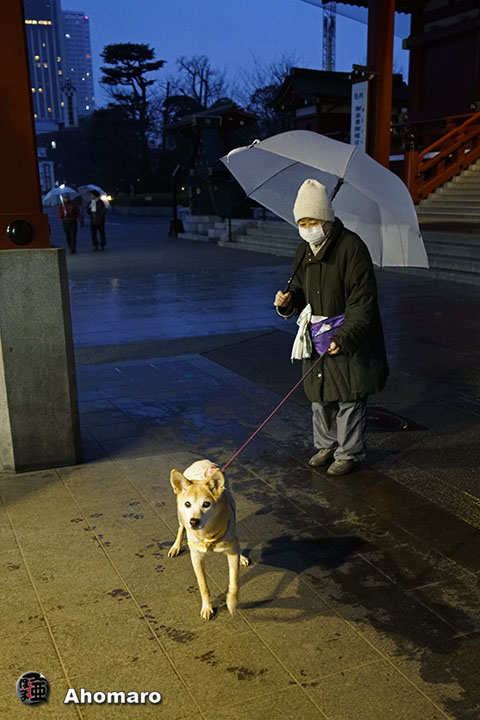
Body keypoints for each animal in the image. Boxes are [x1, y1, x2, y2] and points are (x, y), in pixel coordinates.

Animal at [168, 459, 249, 620]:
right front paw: (207, 607)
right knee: (181, 528)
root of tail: (202, 461)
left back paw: (242, 556)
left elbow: (234, 582)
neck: (207, 534)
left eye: (206, 504)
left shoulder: (231, 552)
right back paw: (176, 546)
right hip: (181, 517)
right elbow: (203, 585)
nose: (193, 521)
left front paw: (231, 602)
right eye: (188, 504)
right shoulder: (196, 558)